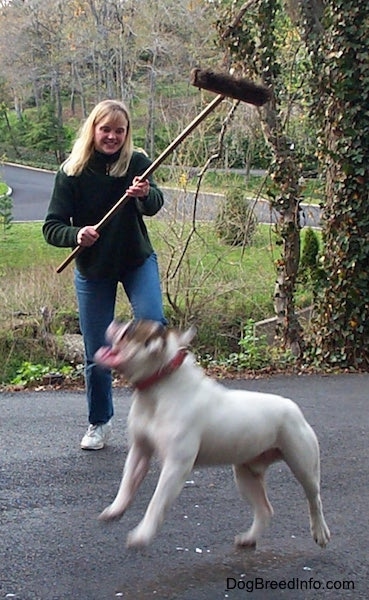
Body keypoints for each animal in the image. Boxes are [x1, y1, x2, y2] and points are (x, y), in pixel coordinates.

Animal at [93, 322, 330, 552]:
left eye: (129, 330)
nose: (115, 322)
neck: (160, 383)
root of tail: (293, 408)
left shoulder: (175, 466)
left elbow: (157, 502)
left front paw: (142, 534)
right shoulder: (140, 450)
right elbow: (127, 481)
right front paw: (116, 508)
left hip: (303, 465)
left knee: (314, 498)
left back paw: (320, 533)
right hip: (246, 475)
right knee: (264, 509)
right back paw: (249, 538)